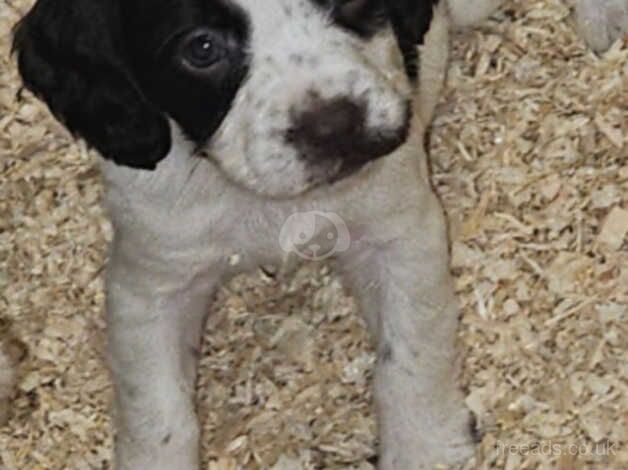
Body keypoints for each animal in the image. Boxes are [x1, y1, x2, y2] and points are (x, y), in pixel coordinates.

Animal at [9, 0, 628, 470]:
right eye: (201, 49)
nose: (335, 125)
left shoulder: (401, 236)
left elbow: (410, 359)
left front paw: (424, 446)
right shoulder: (150, 280)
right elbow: (157, 410)